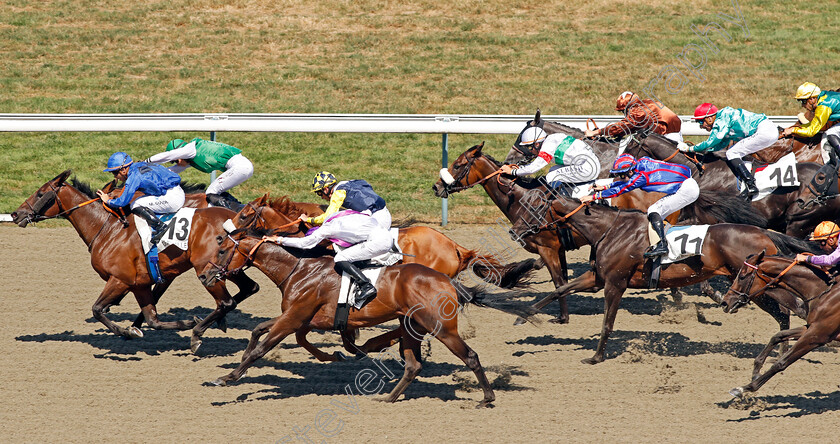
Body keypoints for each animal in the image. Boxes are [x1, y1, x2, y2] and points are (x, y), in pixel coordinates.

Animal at [9, 172, 260, 352]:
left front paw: (127, 331)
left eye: (40, 193)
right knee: (249, 288)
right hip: (228, 266)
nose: (15, 214)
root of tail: (235, 219)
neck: (107, 229)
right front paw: (182, 323)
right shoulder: (140, 284)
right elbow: (152, 319)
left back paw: (199, 333)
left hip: (206, 269)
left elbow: (97, 309)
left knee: (226, 301)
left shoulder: (120, 279)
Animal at [200, 227, 536, 404]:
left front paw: (226, 378)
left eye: (221, 251)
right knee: (413, 364)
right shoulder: (297, 318)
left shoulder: (294, 318)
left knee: (470, 356)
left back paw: (487, 397)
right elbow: (258, 330)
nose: (204, 275)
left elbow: (261, 347)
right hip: (412, 326)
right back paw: (388, 397)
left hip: (441, 328)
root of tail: (446, 280)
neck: (299, 269)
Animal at [512, 196, 820, 366]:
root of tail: (765, 233)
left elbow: (607, 323)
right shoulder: (597, 277)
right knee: (784, 314)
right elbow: (560, 289)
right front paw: (521, 315)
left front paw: (596, 356)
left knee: (794, 309)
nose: (514, 231)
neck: (609, 229)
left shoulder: (615, 283)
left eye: (533, 207)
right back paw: (782, 350)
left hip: (754, 285)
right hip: (751, 289)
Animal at [720, 253, 840, 398]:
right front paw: (756, 371)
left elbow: (781, 363)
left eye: (742, 276)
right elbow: (778, 335)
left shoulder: (818, 335)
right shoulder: (812, 327)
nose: (724, 303)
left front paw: (745, 388)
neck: (824, 291)